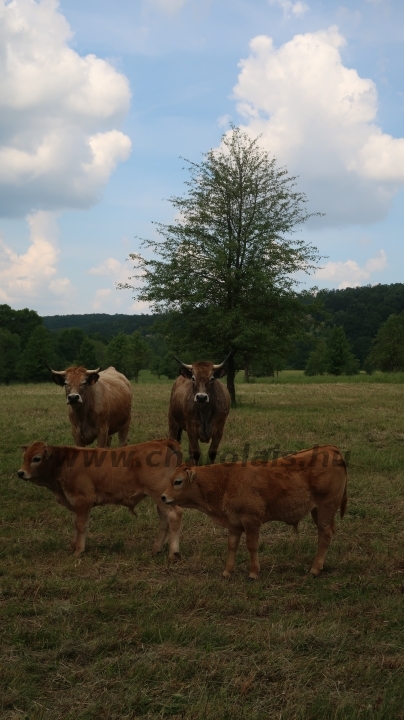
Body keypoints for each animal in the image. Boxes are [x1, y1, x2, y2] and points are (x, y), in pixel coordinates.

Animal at [17, 436, 183, 560]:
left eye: (36, 458)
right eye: (24, 457)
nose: (20, 473)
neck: (65, 461)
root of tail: (162, 442)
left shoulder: (83, 500)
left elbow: (81, 525)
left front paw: (79, 550)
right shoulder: (76, 504)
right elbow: (75, 523)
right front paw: (73, 545)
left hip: (160, 495)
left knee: (174, 516)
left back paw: (173, 553)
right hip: (161, 499)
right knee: (164, 520)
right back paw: (156, 549)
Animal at [161, 444, 348, 580]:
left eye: (178, 481)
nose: (163, 497)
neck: (225, 480)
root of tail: (330, 449)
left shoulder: (251, 521)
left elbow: (252, 545)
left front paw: (253, 573)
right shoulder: (233, 523)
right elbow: (232, 545)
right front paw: (227, 571)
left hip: (325, 508)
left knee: (325, 535)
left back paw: (315, 569)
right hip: (317, 511)